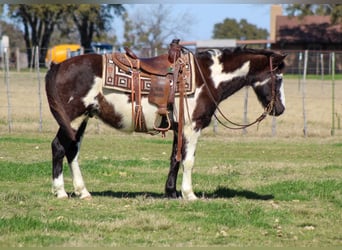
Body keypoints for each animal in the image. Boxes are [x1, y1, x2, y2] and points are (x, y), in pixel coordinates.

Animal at [44, 41, 286, 201]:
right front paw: (189, 194)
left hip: (82, 119)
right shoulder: (192, 127)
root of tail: (59, 66)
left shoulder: (179, 129)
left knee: (72, 150)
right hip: (73, 118)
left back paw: (82, 191)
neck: (207, 77)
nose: (280, 109)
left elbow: (175, 159)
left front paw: (171, 192)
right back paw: (61, 192)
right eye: (279, 77)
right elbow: (188, 161)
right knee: (59, 147)